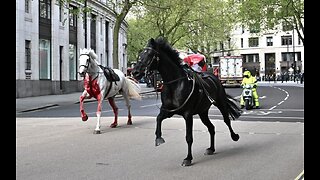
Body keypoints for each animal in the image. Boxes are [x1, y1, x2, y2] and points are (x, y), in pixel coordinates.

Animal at [131, 37, 241, 167]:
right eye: (140, 55)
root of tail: (213, 76)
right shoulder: (168, 111)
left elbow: (189, 137)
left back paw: (234, 136)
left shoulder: (188, 114)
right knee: (211, 128)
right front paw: (158, 138)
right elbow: (158, 119)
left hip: (220, 103)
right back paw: (211, 149)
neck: (175, 84)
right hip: (203, 112)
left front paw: (188, 158)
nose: (135, 72)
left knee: (226, 120)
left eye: (149, 55)